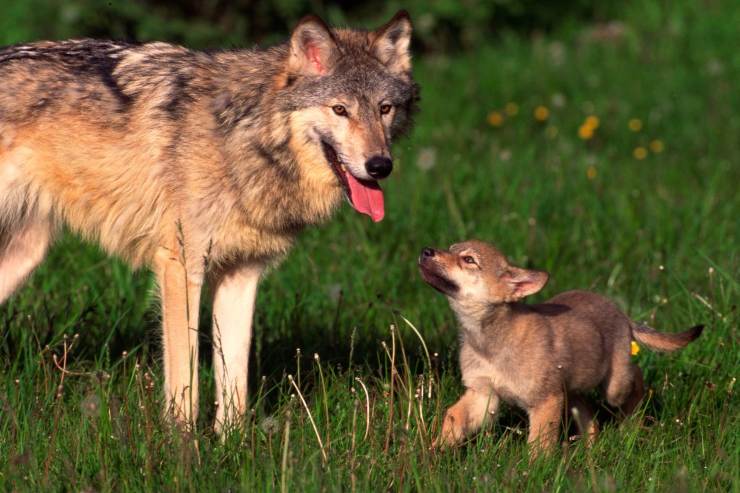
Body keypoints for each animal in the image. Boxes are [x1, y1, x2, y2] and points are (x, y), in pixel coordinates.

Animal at [0, 9, 416, 428]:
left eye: (384, 109)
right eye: (340, 109)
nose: (380, 166)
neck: (244, 138)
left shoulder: (242, 274)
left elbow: (235, 384)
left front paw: (232, 441)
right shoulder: (181, 268)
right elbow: (186, 382)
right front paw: (181, 443)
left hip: (24, 257)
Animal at [420, 240, 704, 456]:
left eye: (468, 260)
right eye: (450, 247)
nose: (426, 251)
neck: (488, 341)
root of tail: (622, 314)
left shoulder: (545, 401)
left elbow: (539, 445)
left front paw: (534, 472)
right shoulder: (482, 395)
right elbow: (452, 419)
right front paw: (434, 452)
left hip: (614, 386)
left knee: (636, 376)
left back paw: (630, 424)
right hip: (572, 389)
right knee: (590, 415)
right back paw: (590, 450)